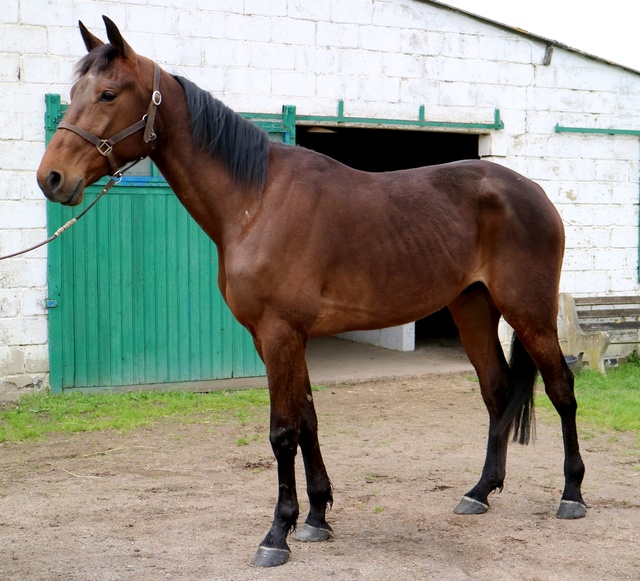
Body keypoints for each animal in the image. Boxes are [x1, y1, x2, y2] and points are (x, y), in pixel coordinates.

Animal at [35, 17, 584, 568]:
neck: (256, 200)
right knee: (497, 391)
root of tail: (535, 192)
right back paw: (480, 492)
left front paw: (277, 533)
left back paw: (572, 495)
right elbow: (308, 420)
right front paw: (317, 517)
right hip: (472, 307)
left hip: (529, 312)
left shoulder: (281, 333)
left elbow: (283, 432)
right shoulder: (274, 338)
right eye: (73, 93)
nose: (51, 178)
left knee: (561, 387)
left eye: (108, 94)